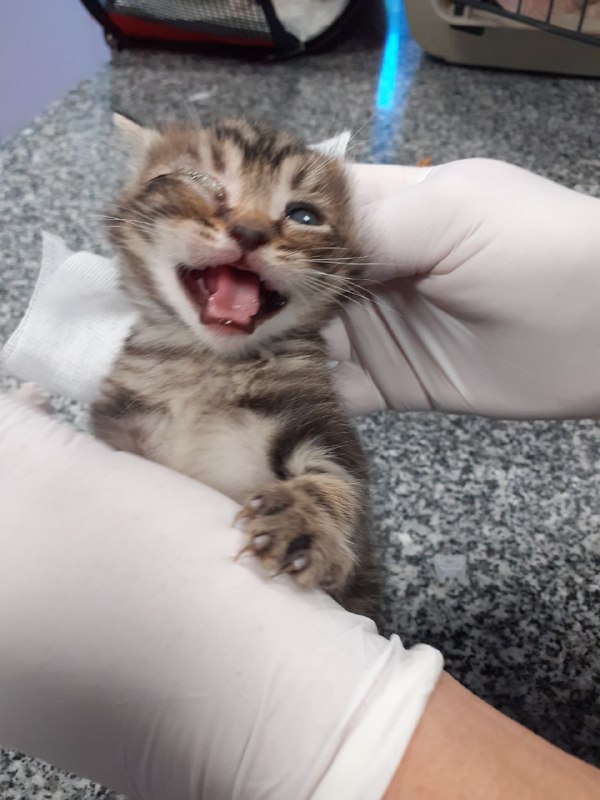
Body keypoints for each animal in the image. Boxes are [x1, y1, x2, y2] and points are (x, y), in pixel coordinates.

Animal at [92, 115, 378, 614]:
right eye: (201, 183)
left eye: (304, 215)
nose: (250, 231)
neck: (208, 366)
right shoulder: (120, 422)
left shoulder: (319, 421)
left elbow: (337, 480)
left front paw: (305, 521)